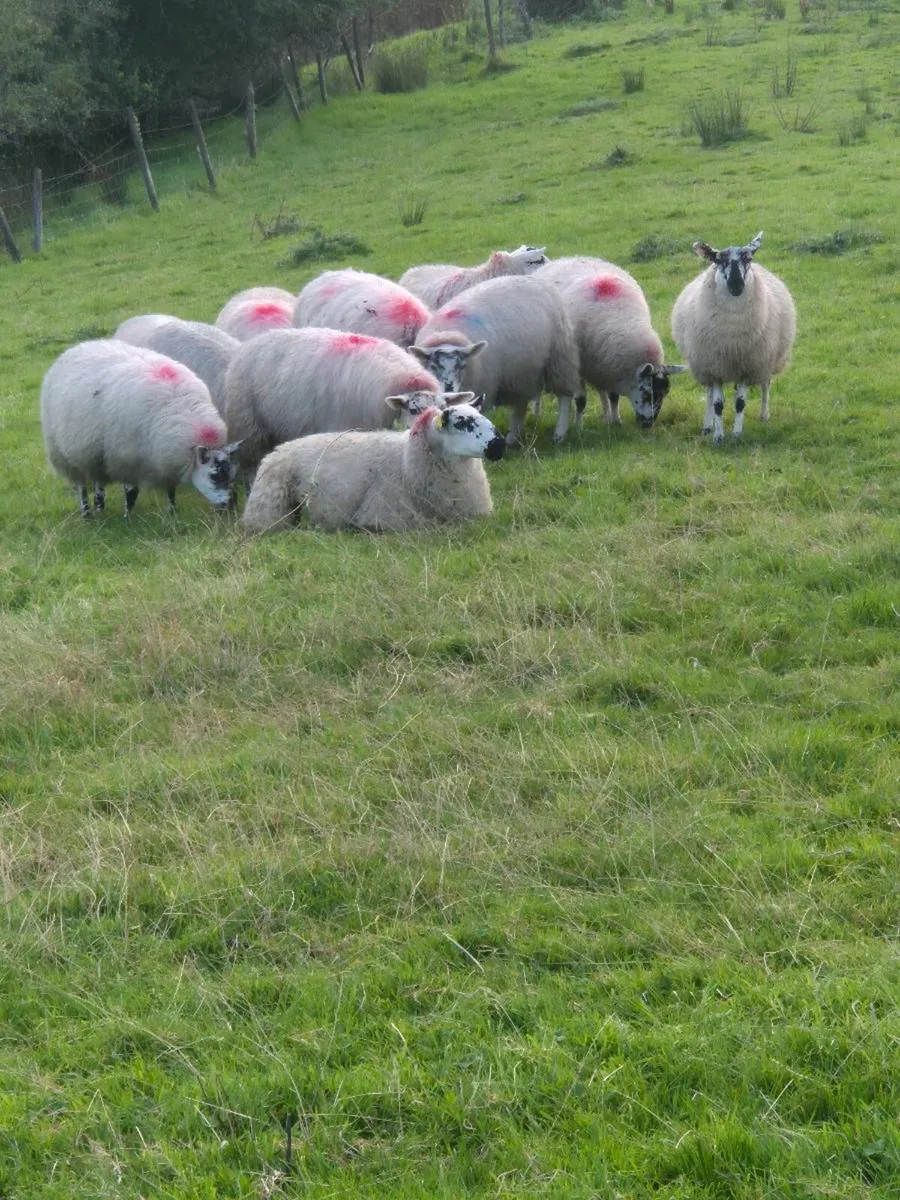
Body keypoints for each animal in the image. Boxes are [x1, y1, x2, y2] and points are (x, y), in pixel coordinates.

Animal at [40, 339, 240, 518]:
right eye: (214, 476)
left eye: (232, 475)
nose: (230, 506)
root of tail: (77, 347)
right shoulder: (126, 460)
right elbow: (131, 493)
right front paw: (127, 519)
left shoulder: (165, 461)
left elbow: (171, 490)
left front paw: (172, 513)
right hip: (64, 454)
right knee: (81, 486)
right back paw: (87, 514)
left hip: (95, 454)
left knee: (98, 481)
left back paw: (99, 507)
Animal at [241, 397, 505, 534]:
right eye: (461, 423)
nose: (499, 445)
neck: (405, 461)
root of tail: (278, 450)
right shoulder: (383, 517)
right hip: (270, 507)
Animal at [409, 275, 582, 444]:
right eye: (432, 366)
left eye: (463, 366)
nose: (449, 388)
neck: (448, 333)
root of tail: (535, 280)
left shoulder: (483, 388)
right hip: (520, 374)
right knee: (520, 405)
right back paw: (513, 438)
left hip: (558, 359)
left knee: (564, 397)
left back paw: (559, 434)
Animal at [536, 256, 686, 430]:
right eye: (646, 392)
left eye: (665, 393)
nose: (648, 424)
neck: (621, 320)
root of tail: (566, 259)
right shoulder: (579, 368)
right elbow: (581, 400)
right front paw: (578, 427)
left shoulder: (611, 366)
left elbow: (614, 396)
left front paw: (615, 421)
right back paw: (537, 413)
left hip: (598, 365)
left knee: (602, 391)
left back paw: (606, 415)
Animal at [670, 232, 796, 442]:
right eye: (718, 260)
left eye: (749, 259)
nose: (736, 285)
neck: (732, 333)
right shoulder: (714, 367)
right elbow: (717, 404)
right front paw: (718, 436)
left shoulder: (748, 366)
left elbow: (740, 403)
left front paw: (737, 435)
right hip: (705, 364)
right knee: (709, 395)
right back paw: (707, 426)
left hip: (765, 360)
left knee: (765, 385)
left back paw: (764, 415)